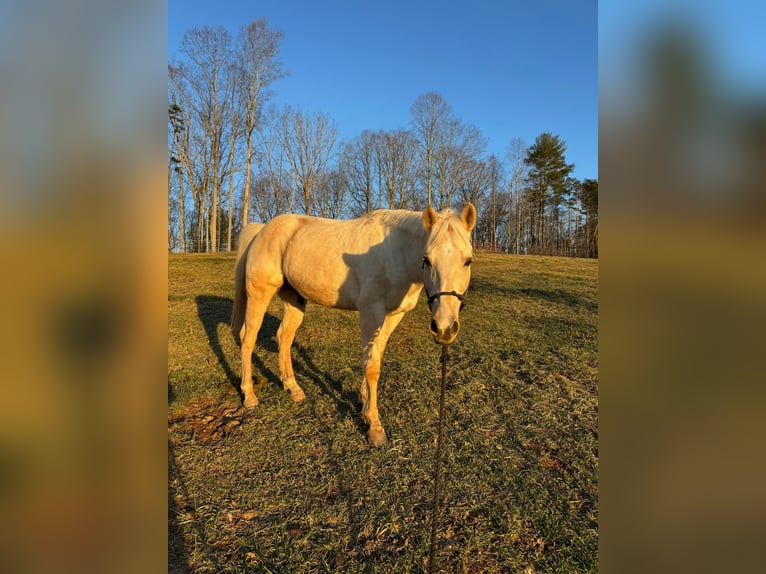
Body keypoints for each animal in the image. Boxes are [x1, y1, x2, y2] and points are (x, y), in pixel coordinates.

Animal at [231, 204, 476, 446]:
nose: (444, 329)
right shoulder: (371, 312)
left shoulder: (393, 316)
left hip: (294, 300)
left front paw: (365, 400)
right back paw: (249, 395)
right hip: (259, 295)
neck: (396, 253)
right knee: (247, 338)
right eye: (427, 259)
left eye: (468, 261)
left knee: (284, 337)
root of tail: (262, 231)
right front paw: (375, 427)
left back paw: (293, 388)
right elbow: (371, 365)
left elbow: (376, 356)